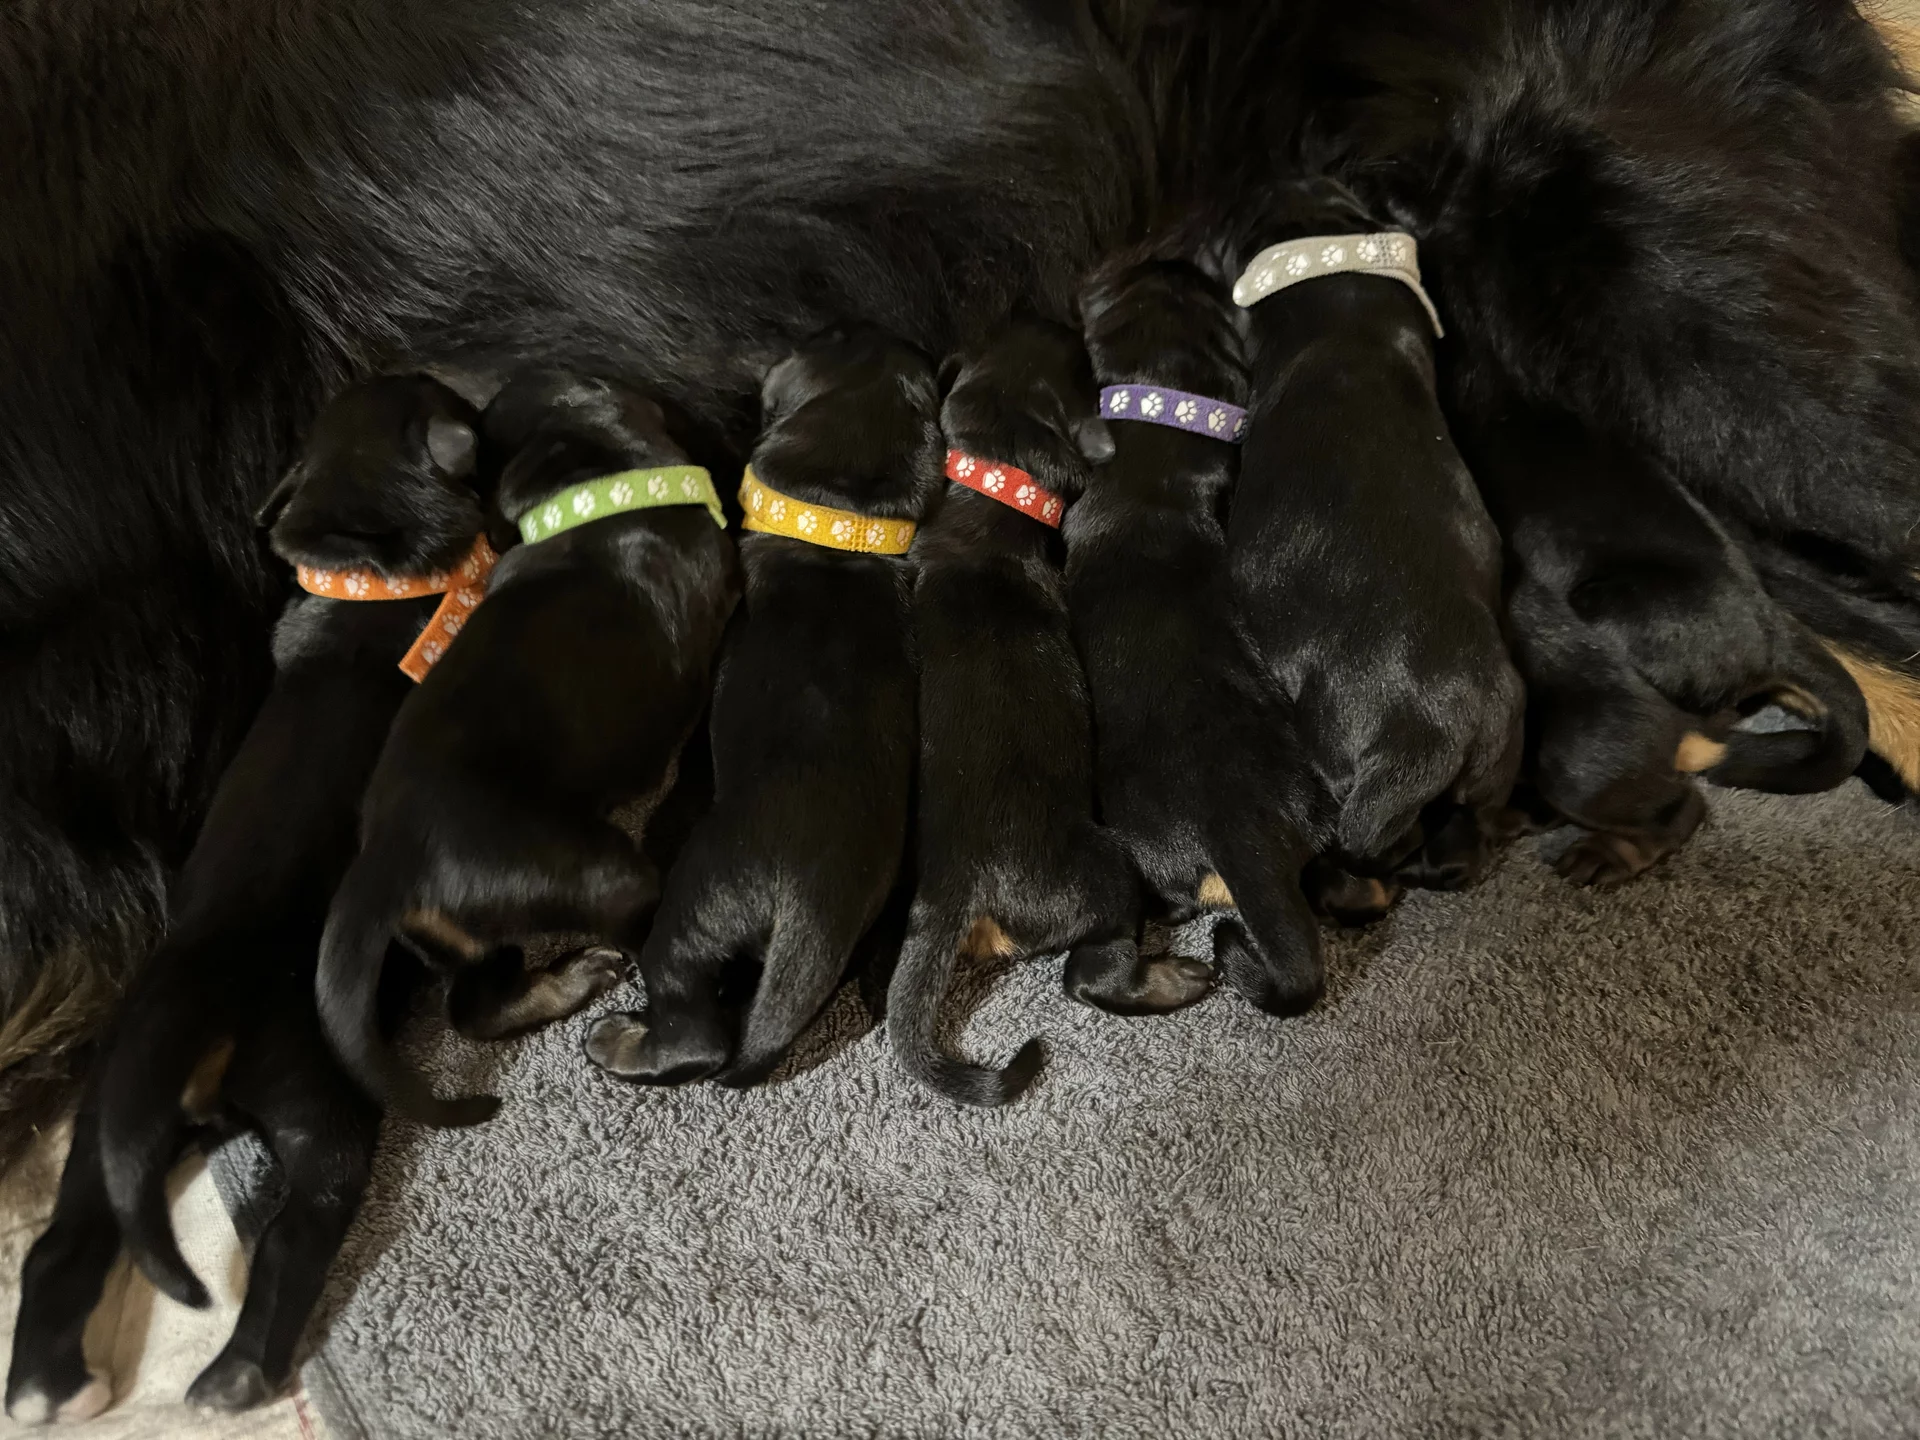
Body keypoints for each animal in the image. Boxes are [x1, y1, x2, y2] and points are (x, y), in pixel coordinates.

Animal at [6, 374, 502, 1420]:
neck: (369, 580)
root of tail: (199, 1010)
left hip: (105, 1115)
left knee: (66, 1239)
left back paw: (49, 1387)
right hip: (317, 1096)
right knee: (298, 1230)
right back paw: (237, 1372)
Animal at [316, 369, 738, 1125]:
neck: (609, 496)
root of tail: (386, 859)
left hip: (465, 935)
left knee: (474, 1009)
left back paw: (572, 980)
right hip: (604, 874)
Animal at [885, 318, 1212, 1108]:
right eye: (1076, 362)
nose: (1063, 318)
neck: (991, 496)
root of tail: (956, 892)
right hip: (1106, 872)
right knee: (1088, 973)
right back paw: (1177, 976)